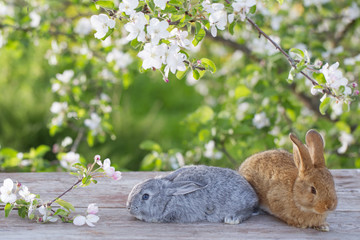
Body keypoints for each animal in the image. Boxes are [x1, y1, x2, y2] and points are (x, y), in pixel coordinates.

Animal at [125, 165, 258, 223]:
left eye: (145, 196)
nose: (129, 207)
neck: (168, 199)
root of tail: (253, 195)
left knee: (247, 211)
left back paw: (232, 219)